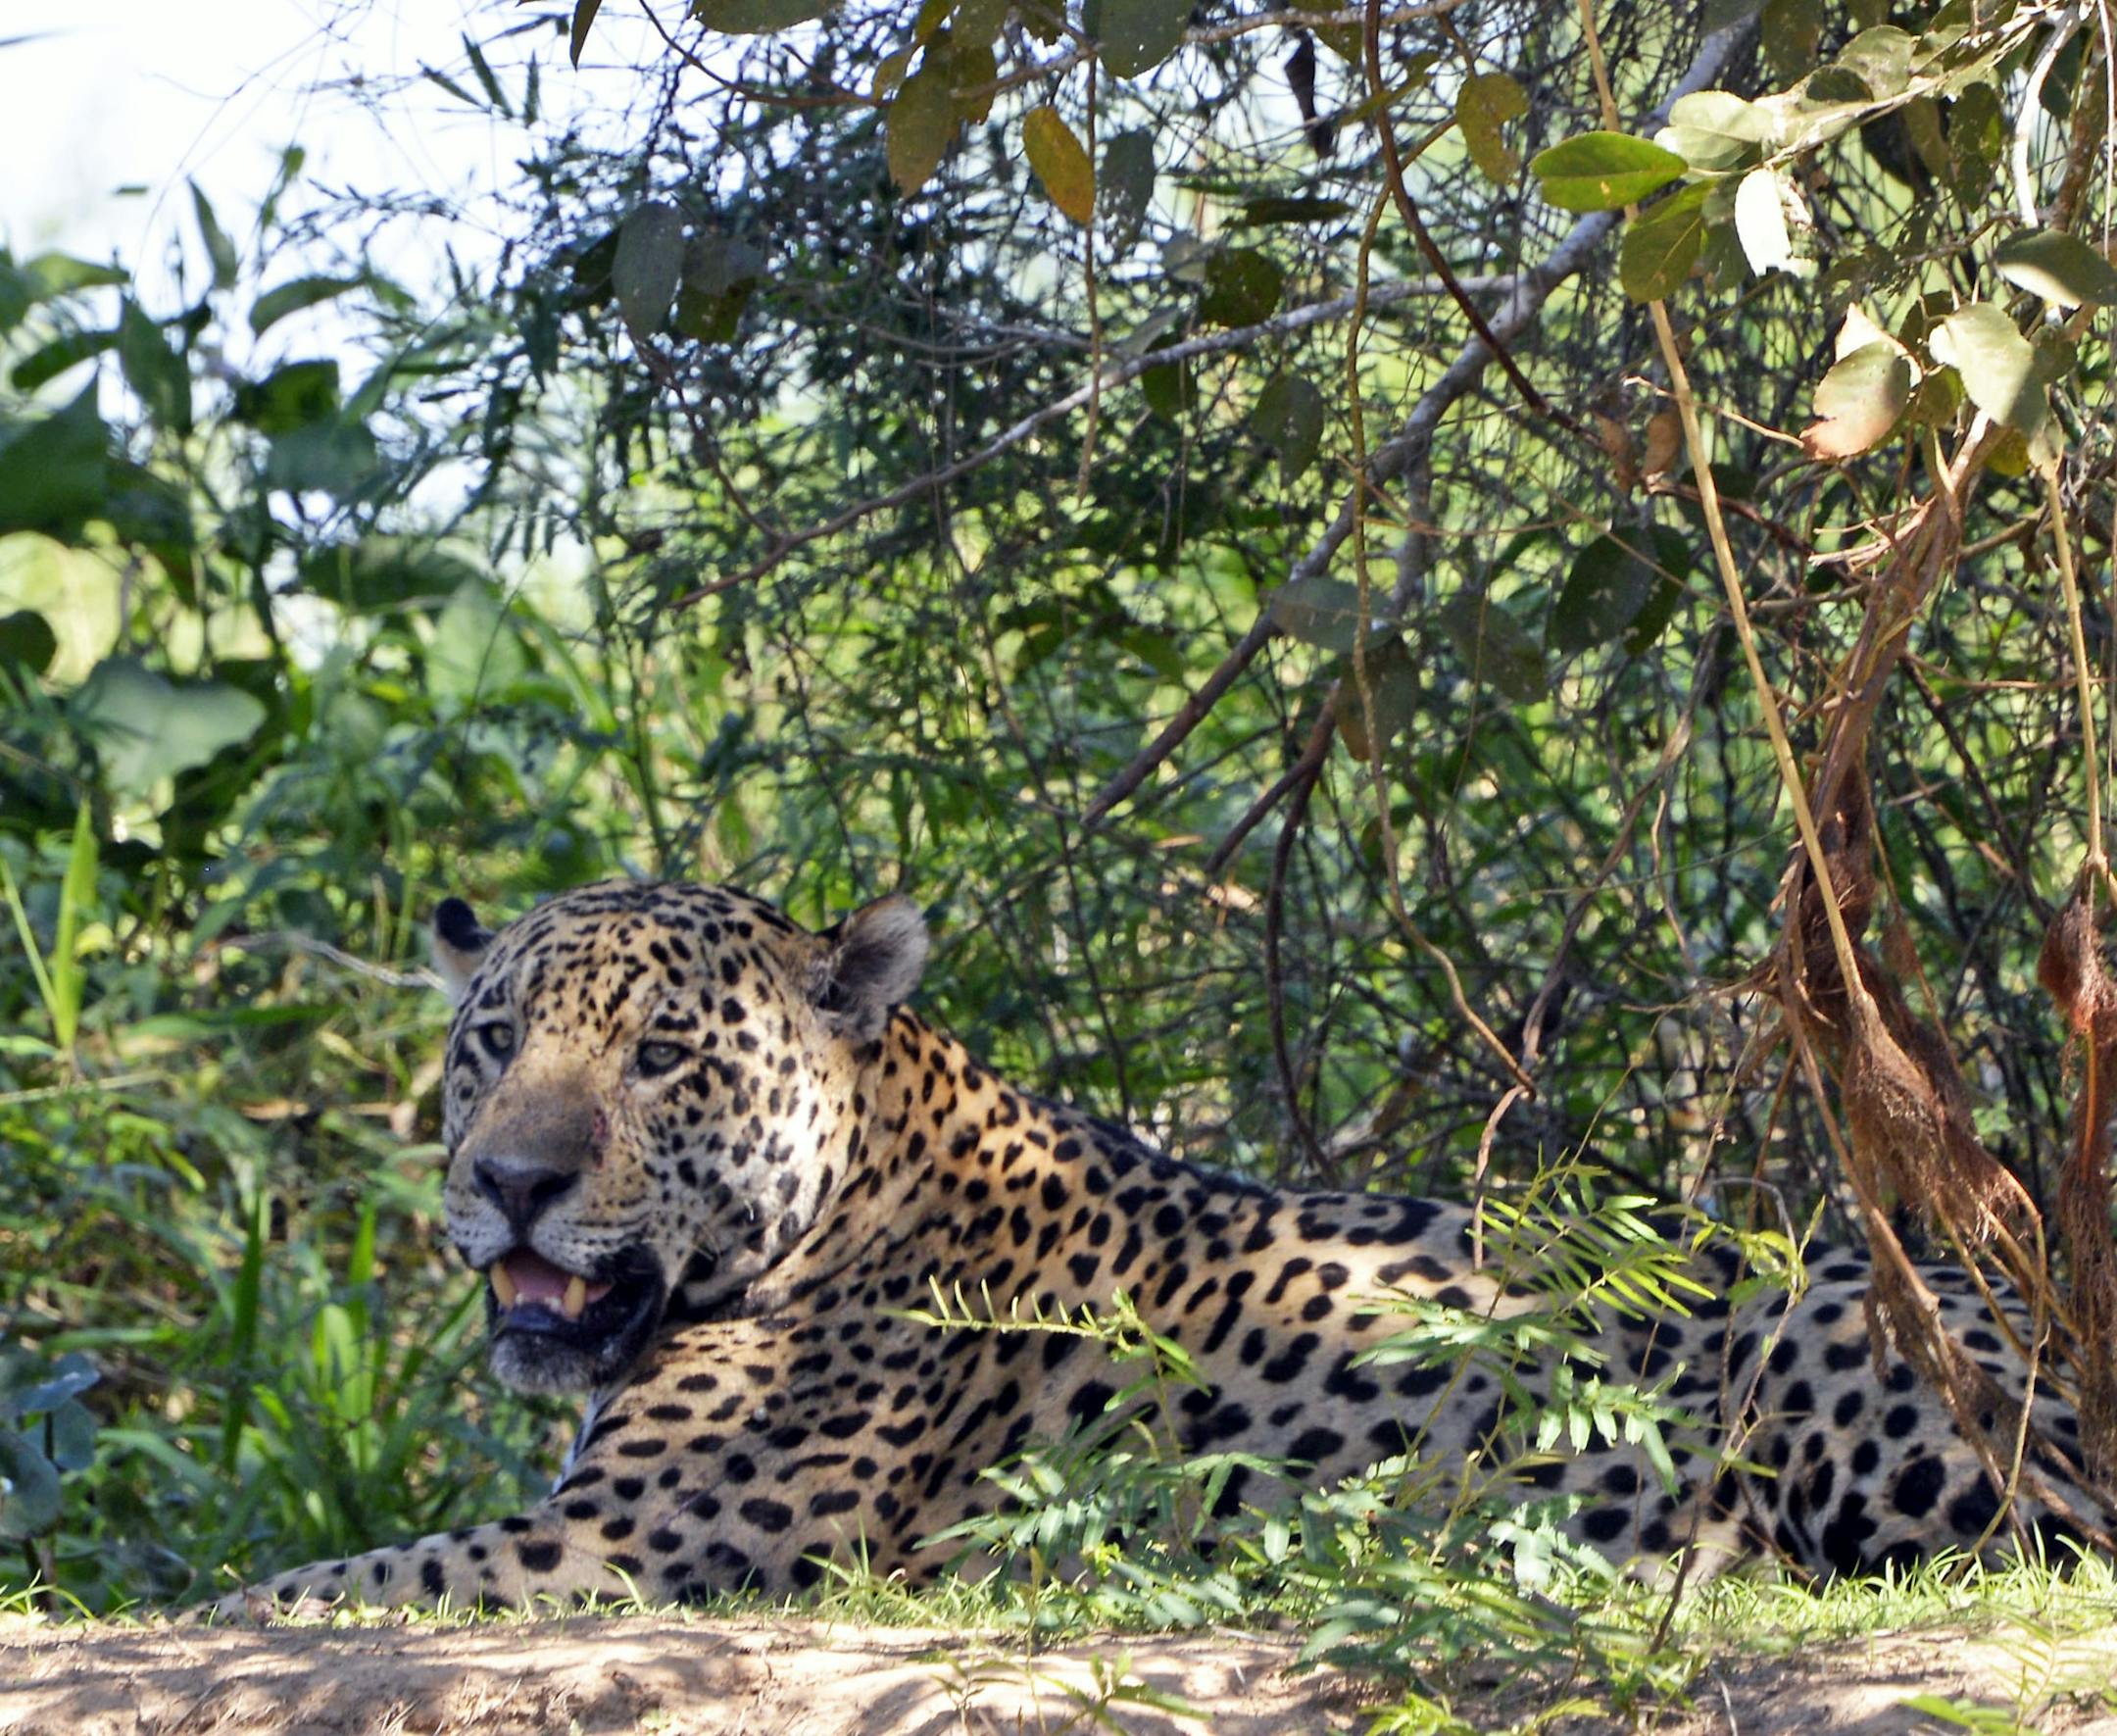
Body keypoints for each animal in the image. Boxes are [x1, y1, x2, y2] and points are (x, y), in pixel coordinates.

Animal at [213, 878, 2110, 1615]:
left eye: (665, 1056)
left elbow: (313, 1583)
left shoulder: (639, 1547)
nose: (510, 1181)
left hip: (1834, 1342)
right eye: (491, 1041)